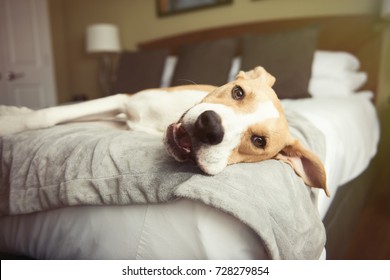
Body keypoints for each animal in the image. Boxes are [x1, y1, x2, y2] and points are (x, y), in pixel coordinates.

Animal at [0, 66, 330, 196]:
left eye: (259, 141)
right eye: (238, 92)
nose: (210, 127)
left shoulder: (120, 121)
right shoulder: (123, 101)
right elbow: (50, 114)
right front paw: (12, 122)